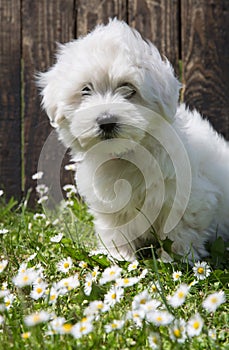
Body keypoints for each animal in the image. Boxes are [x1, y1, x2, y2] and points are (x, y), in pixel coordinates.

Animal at [37, 18, 229, 260]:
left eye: (129, 89)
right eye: (85, 90)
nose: (106, 121)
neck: (129, 154)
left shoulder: (191, 196)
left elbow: (181, 230)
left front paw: (175, 260)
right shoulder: (113, 204)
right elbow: (117, 230)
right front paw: (119, 257)